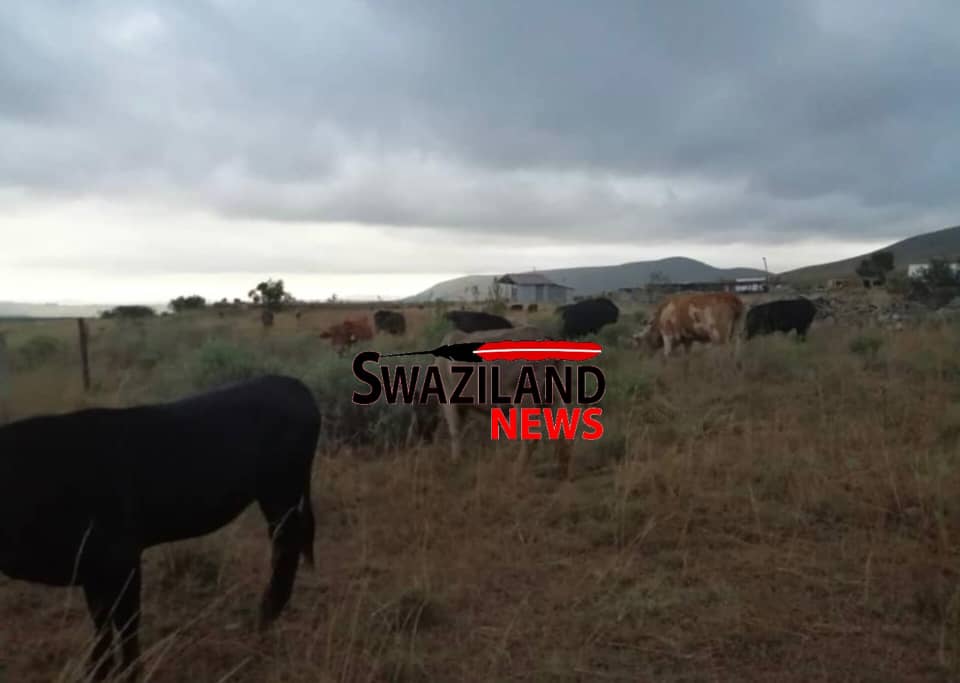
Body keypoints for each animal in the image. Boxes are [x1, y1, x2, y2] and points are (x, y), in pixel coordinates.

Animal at [0, 375, 320, 681]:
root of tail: (291, 384)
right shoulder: (92, 570)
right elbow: (102, 625)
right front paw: (97, 672)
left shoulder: (121, 559)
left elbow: (126, 623)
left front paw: (130, 674)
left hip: (282, 491)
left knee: (285, 547)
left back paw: (265, 616)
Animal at [434, 325, 574, 480]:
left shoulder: (450, 401)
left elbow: (455, 432)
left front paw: (456, 462)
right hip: (555, 397)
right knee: (563, 434)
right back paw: (563, 472)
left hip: (525, 399)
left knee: (531, 439)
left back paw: (517, 472)